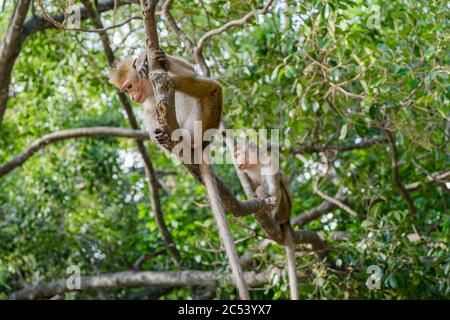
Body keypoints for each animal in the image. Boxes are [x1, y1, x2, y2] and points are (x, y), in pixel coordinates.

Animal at [108, 49, 250, 300]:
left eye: (129, 85)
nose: (133, 98)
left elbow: (189, 72)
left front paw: (151, 58)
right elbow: (147, 114)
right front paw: (156, 136)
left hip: (197, 123)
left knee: (207, 88)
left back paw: (191, 139)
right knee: (151, 112)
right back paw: (166, 141)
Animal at [232, 140, 298, 300]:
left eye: (238, 154)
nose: (236, 161)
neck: (254, 164)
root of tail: (287, 218)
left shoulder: (268, 160)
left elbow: (274, 188)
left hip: (284, 208)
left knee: (275, 182)